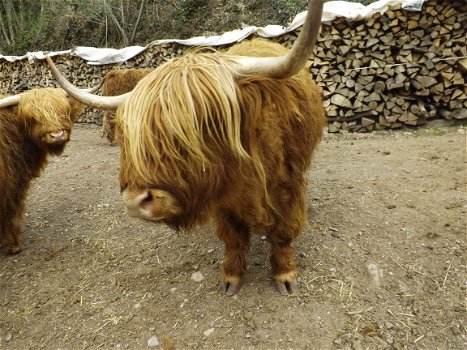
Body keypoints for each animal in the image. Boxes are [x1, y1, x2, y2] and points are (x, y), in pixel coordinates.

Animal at [0, 89, 82, 253]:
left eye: (63, 110)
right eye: (34, 117)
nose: (57, 135)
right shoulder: (12, 185)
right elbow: (11, 212)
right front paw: (14, 246)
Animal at [46, 0, 326, 296]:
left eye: (202, 121)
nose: (135, 202)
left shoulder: (288, 185)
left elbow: (283, 233)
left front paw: (285, 274)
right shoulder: (224, 199)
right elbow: (234, 238)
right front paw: (232, 276)